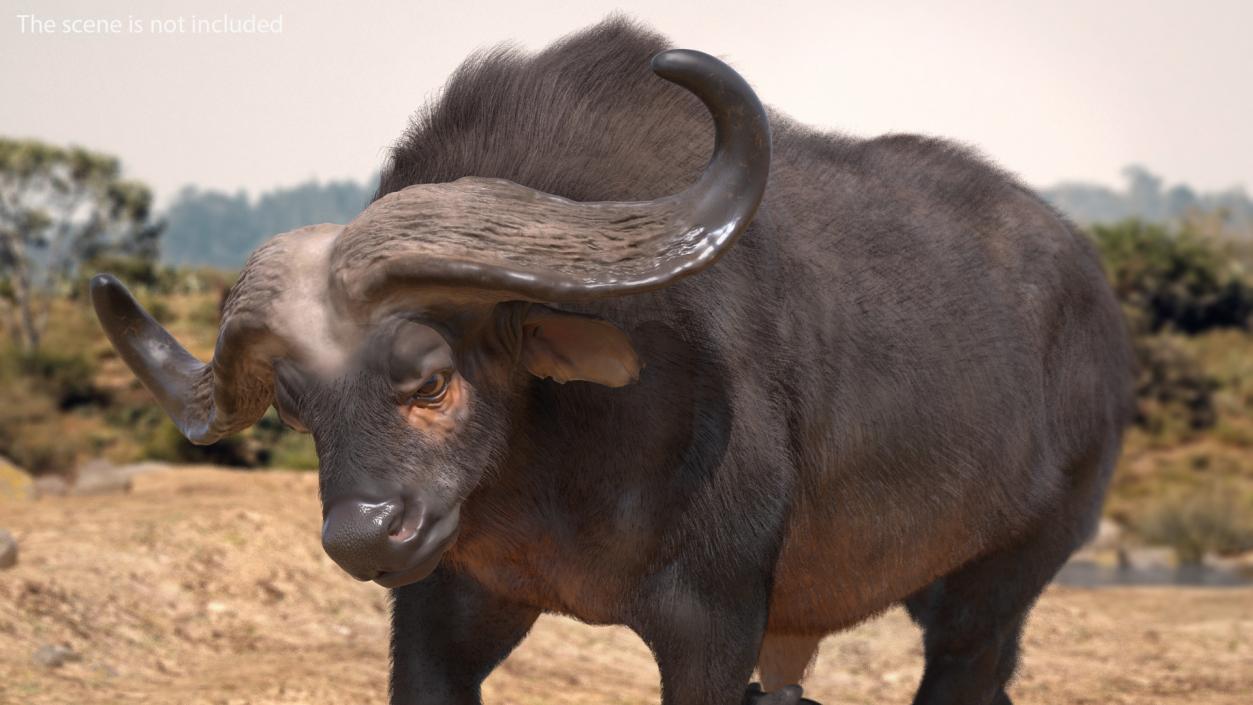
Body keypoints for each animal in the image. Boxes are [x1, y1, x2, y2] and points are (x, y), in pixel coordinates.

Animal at [92, 15, 1137, 705]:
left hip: (995, 589)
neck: (552, 475)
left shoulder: (714, 622)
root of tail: (1096, 306)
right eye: (296, 407)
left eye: (430, 376)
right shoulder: (442, 614)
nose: (363, 535)